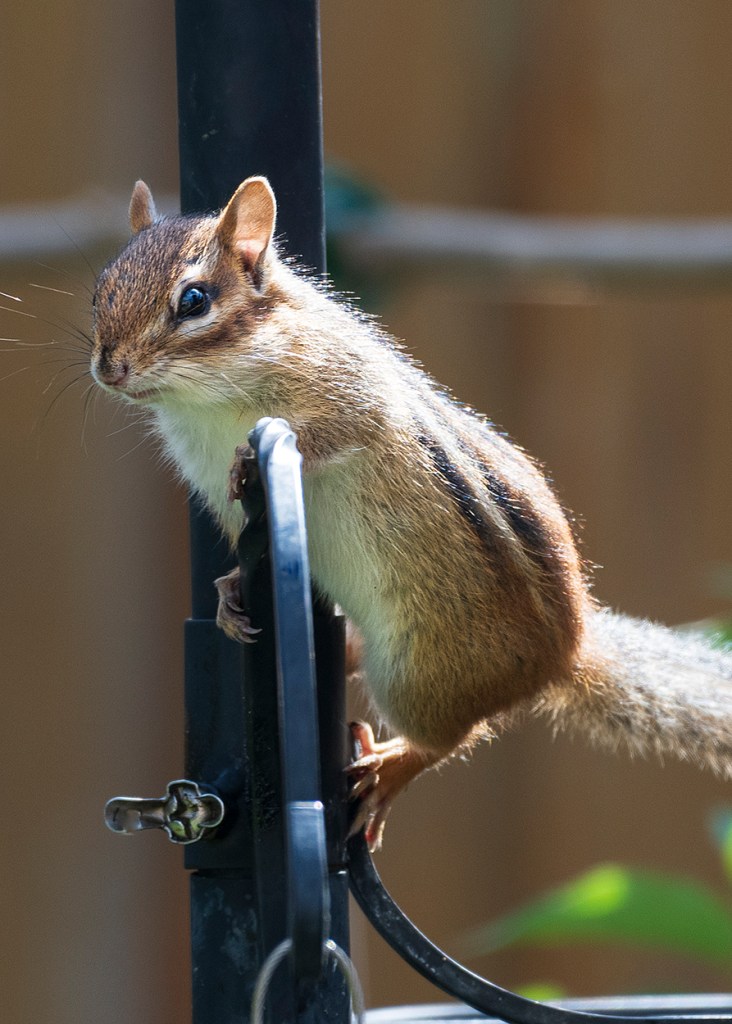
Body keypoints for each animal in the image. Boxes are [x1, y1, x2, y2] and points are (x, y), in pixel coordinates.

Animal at [91, 176, 732, 850]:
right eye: (100, 288)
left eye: (193, 300)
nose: (109, 367)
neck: (205, 399)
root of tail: (565, 655)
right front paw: (230, 590)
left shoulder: (348, 392)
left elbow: (332, 431)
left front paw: (251, 459)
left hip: (416, 675)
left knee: (453, 736)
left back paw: (392, 766)